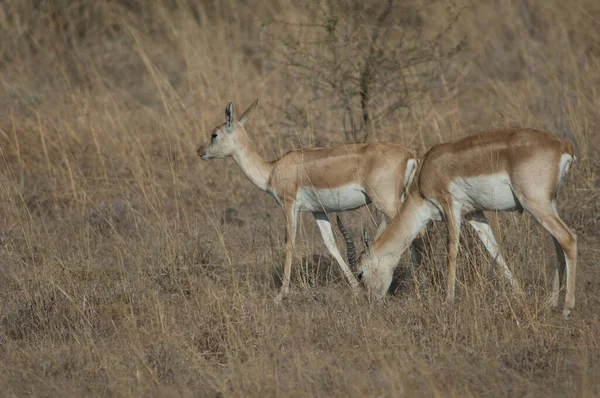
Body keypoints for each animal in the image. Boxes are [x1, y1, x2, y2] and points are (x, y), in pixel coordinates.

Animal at [195, 100, 420, 302]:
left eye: (214, 134)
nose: (199, 151)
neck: (272, 170)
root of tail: (409, 154)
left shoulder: (289, 205)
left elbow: (289, 243)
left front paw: (281, 294)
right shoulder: (318, 211)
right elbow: (331, 244)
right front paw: (356, 288)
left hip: (387, 204)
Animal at [352, 129, 576, 318]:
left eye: (361, 274)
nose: (372, 302)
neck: (426, 172)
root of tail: (563, 146)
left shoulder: (451, 206)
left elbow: (452, 251)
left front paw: (448, 300)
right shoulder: (474, 214)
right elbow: (494, 250)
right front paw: (520, 294)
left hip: (535, 204)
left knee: (569, 238)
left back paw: (567, 309)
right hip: (549, 204)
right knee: (558, 244)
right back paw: (551, 302)